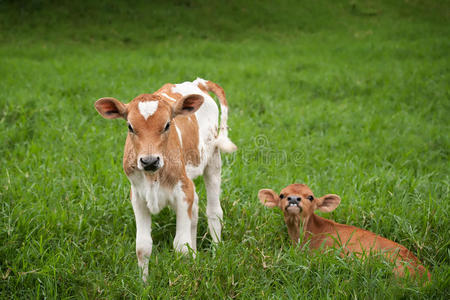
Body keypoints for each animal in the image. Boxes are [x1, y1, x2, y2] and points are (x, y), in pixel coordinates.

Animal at [93, 78, 237, 280]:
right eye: (130, 126)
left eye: (168, 124)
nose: (149, 160)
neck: (152, 177)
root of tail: (198, 83)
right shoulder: (137, 196)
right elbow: (142, 247)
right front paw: (144, 283)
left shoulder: (183, 191)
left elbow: (181, 247)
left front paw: (185, 279)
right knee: (196, 210)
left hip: (213, 160)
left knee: (214, 212)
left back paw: (216, 254)